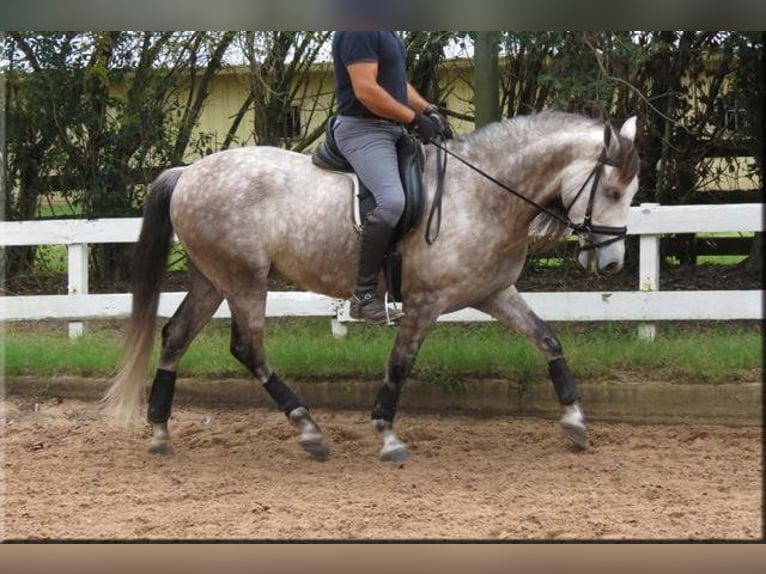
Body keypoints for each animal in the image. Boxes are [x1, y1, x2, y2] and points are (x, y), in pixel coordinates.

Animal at [102, 111, 640, 464]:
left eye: (631, 192)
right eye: (613, 191)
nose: (612, 263)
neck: (482, 194)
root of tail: (188, 172)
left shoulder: (494, 293)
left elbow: (547, 338)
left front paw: (574, 420)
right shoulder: (425, 303)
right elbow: (400, 364)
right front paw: (388, 435)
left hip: (212, 277)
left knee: (176, 336)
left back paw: (160, 431)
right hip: (243, 279)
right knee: (248, 348)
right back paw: (308, 429)